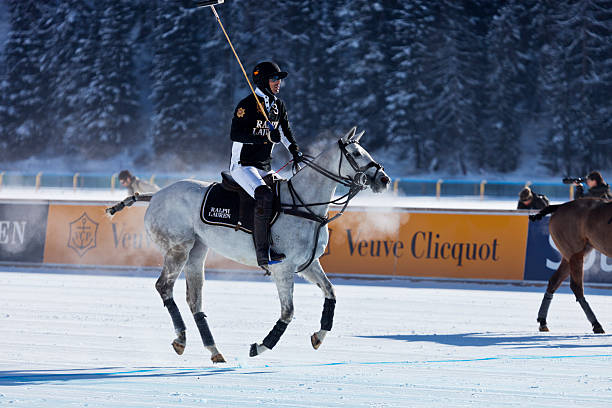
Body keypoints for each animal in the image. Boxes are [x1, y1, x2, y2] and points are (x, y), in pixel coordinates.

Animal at [109, 126, 388, 362]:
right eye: (355, 153)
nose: (383, 179)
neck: (303, 205)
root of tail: (156, 194)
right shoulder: (282, 267)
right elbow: (288, 312)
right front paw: (260, 346)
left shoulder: (308, 264)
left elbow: (330, 292)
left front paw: (318, 337)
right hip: (178, 248)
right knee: (164, 287)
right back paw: (181, 339)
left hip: (197, 250)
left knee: (194, 299)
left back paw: (214, 350)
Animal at [528, 198, 608, 334]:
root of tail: (561, 206)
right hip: (574, 251)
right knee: (576, 286)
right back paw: (596, 324)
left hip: (572, 254)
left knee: (555, 280)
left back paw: (543, 321)